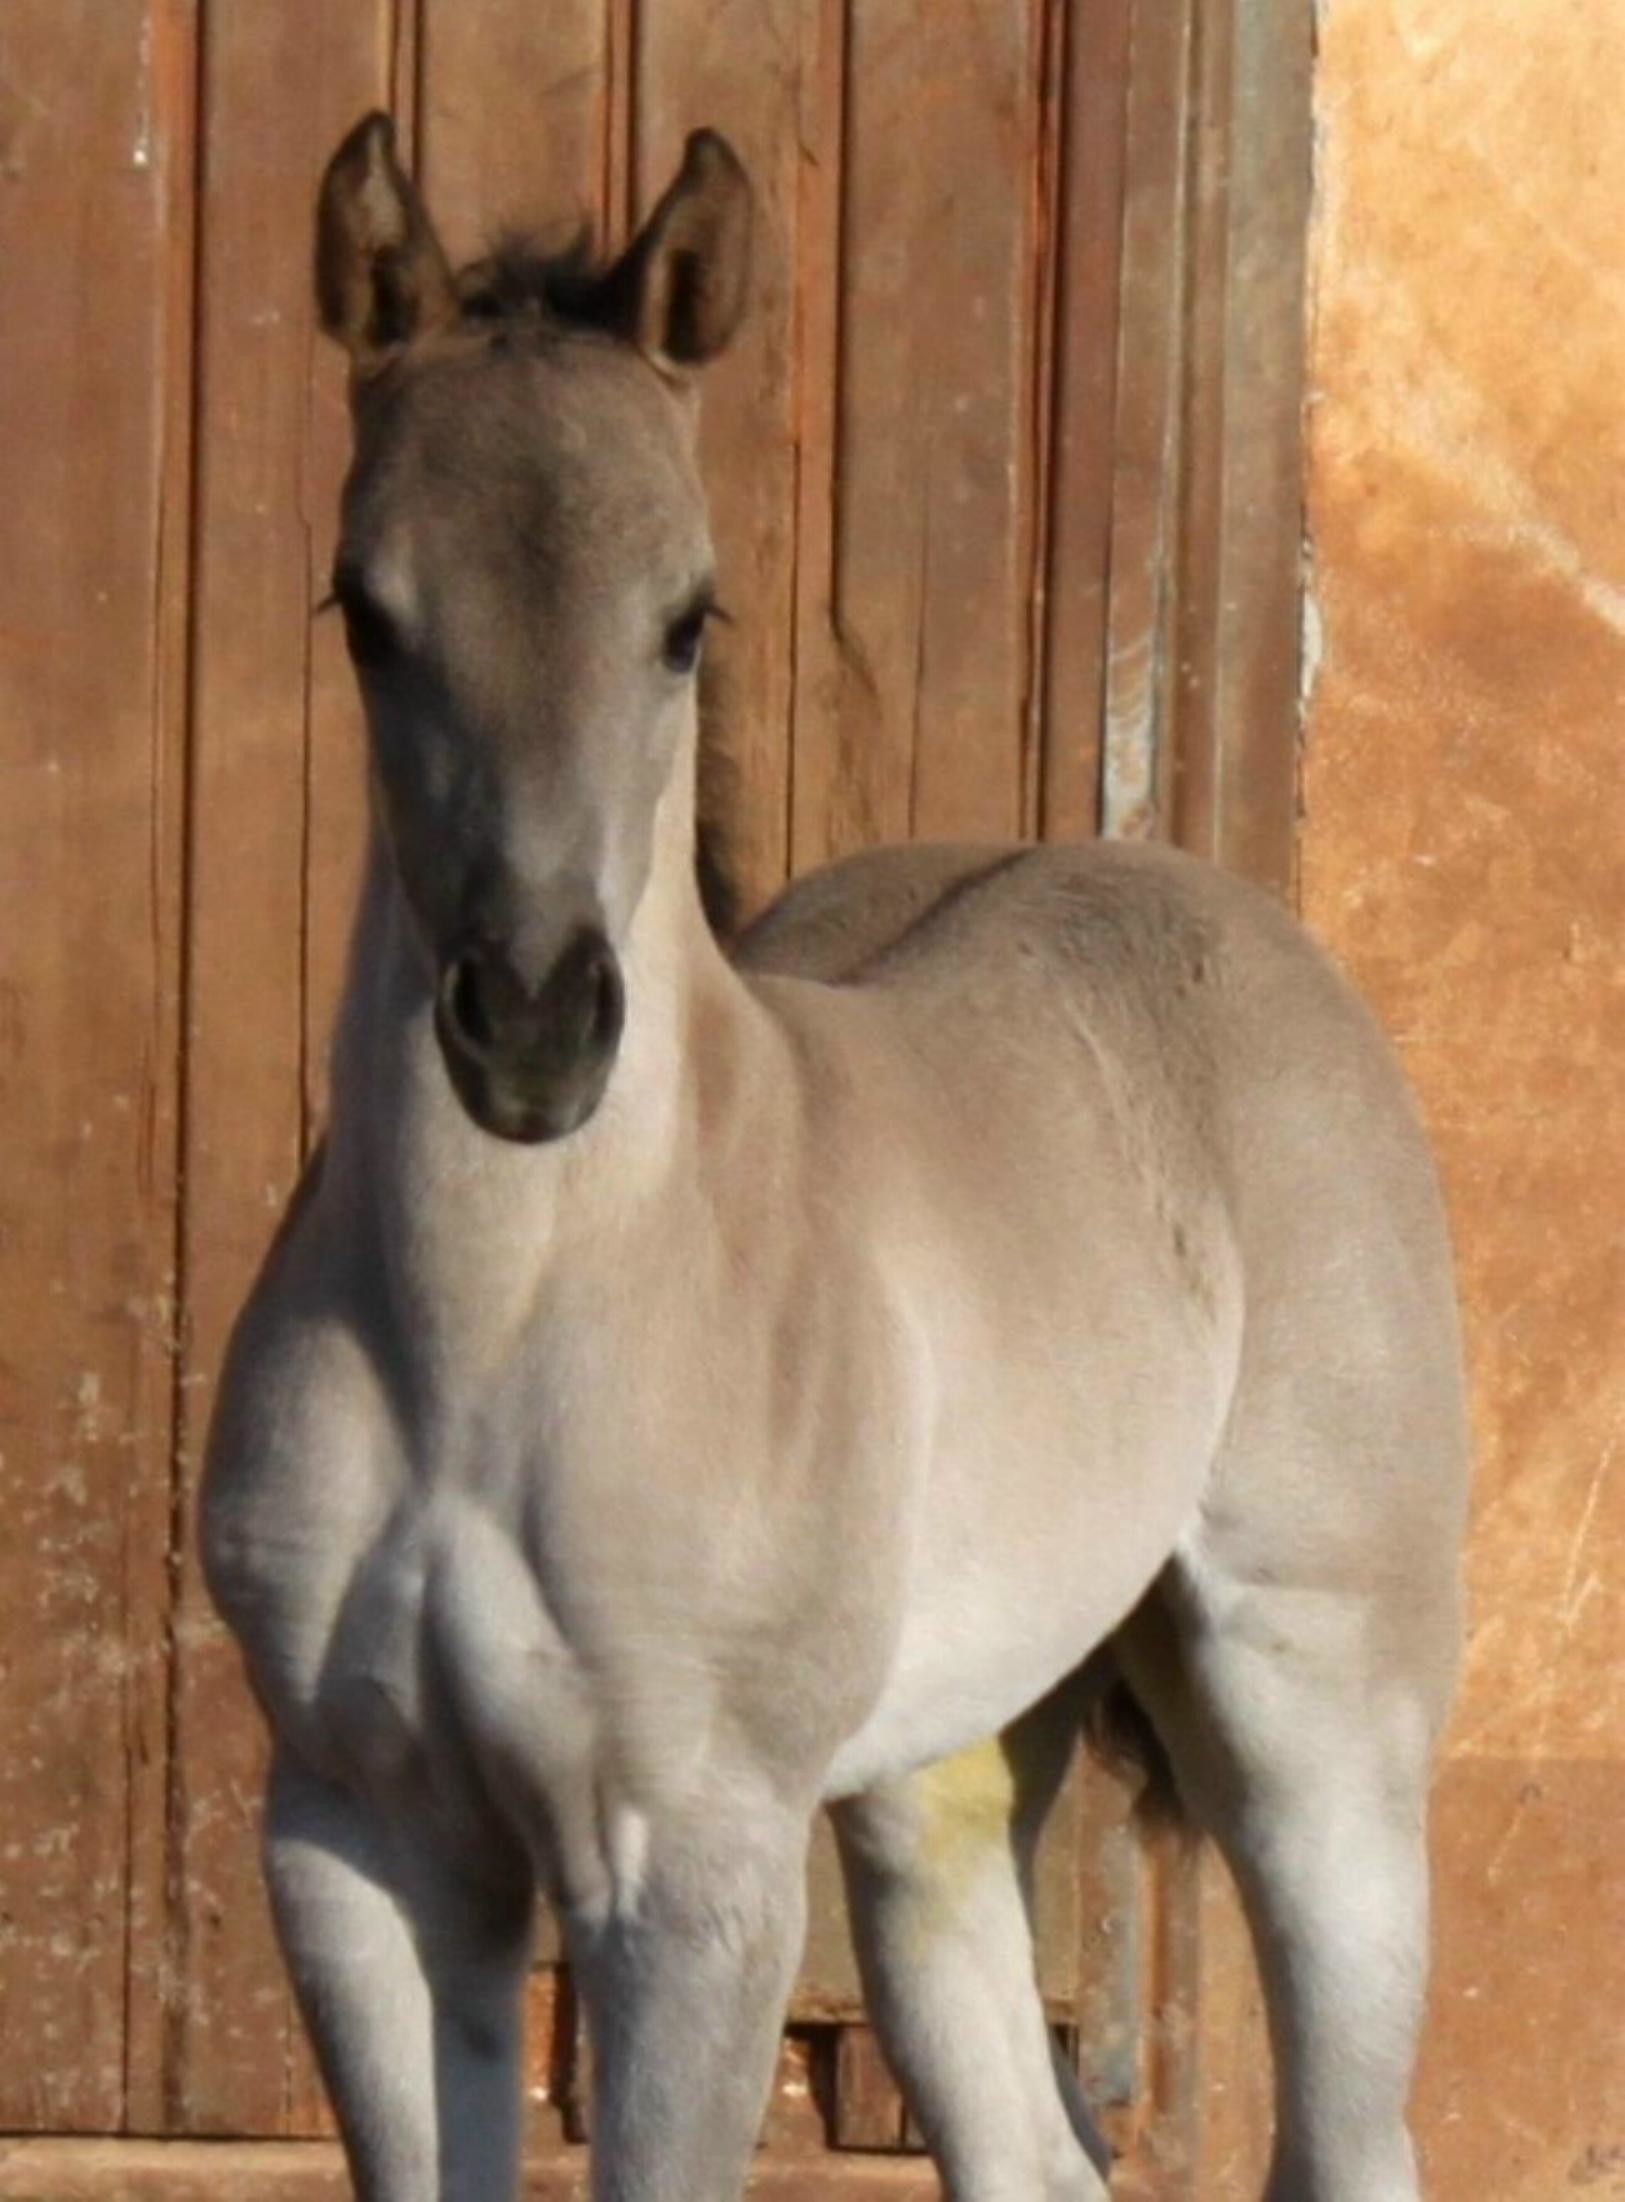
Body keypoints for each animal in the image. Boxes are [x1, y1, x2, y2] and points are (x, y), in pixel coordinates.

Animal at [201, 113, 1468, 2202]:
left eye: (686, 615)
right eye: (364, 612)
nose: (530, 1027)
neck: (497, 1331)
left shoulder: (690, 1868)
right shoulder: (361, 1841)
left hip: (1316, 1716)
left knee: (1353, 2126)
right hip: (940, 1770)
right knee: (1027, 2145)